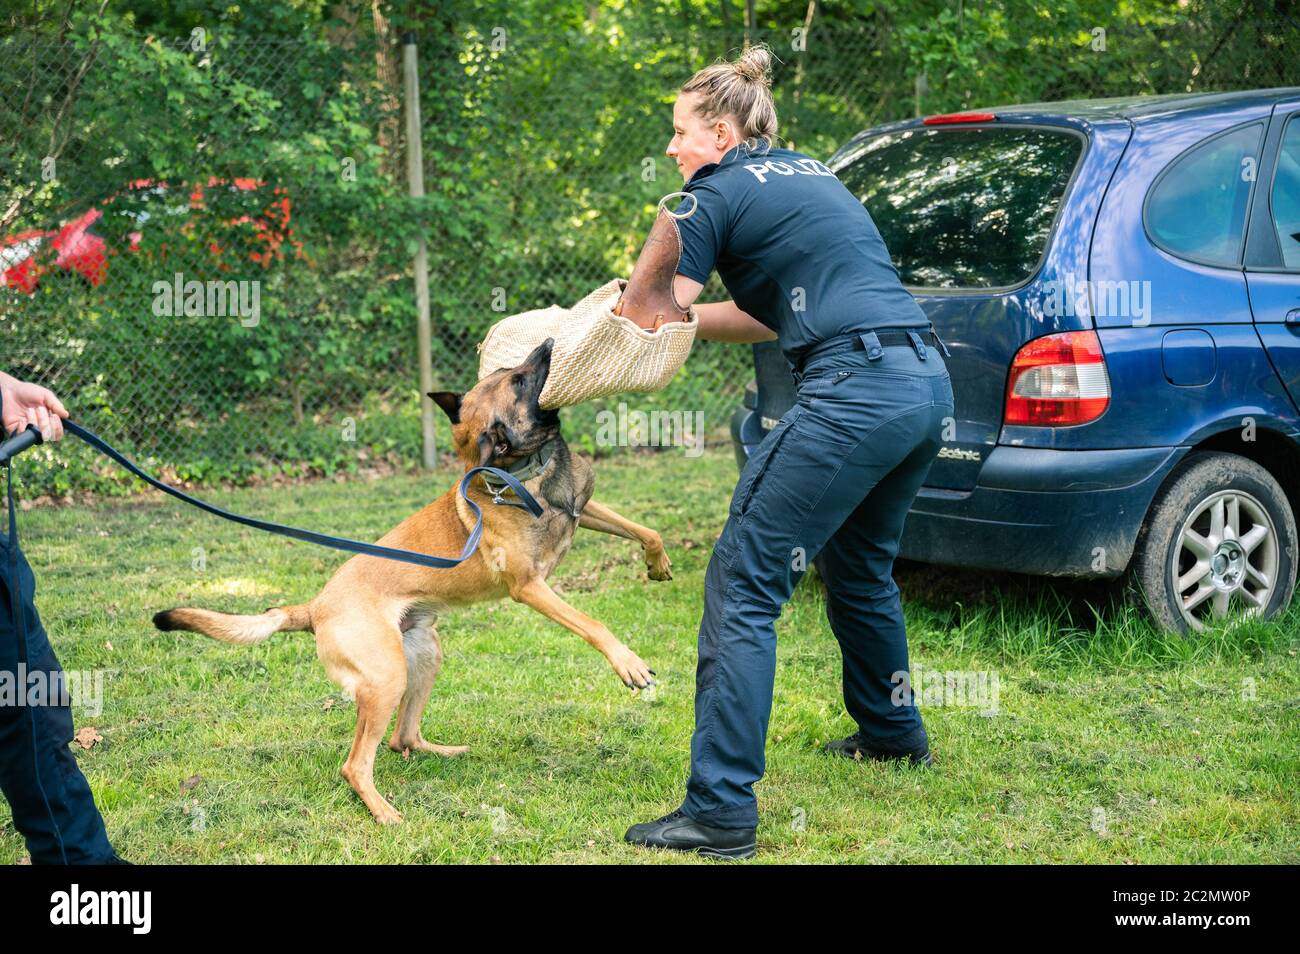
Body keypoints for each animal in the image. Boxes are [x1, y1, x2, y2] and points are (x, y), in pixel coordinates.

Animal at [154, 340, 670, 826]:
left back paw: (440, 752)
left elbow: (646, 529)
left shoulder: (586, 509)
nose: (546, 343)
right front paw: (629, 664)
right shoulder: (529, 587)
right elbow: (593, 624)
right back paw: (383, 812)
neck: (519, 474)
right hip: (386, 678)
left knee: (402, 737)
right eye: (520, 381)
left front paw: (657, 564)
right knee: (356, 764)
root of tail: (315, 606)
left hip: (423, 654)